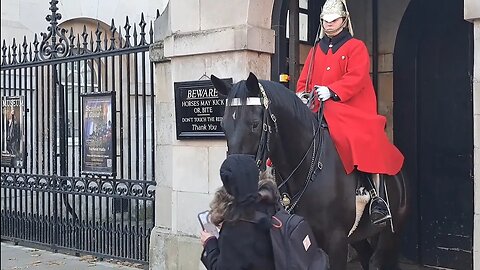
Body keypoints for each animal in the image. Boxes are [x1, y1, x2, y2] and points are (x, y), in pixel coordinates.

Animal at [212, 73, 410, 270]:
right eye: (223, 124)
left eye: (254, 124)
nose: (230, 179)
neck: (307, 167)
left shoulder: (336, 241)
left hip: (391, 233)